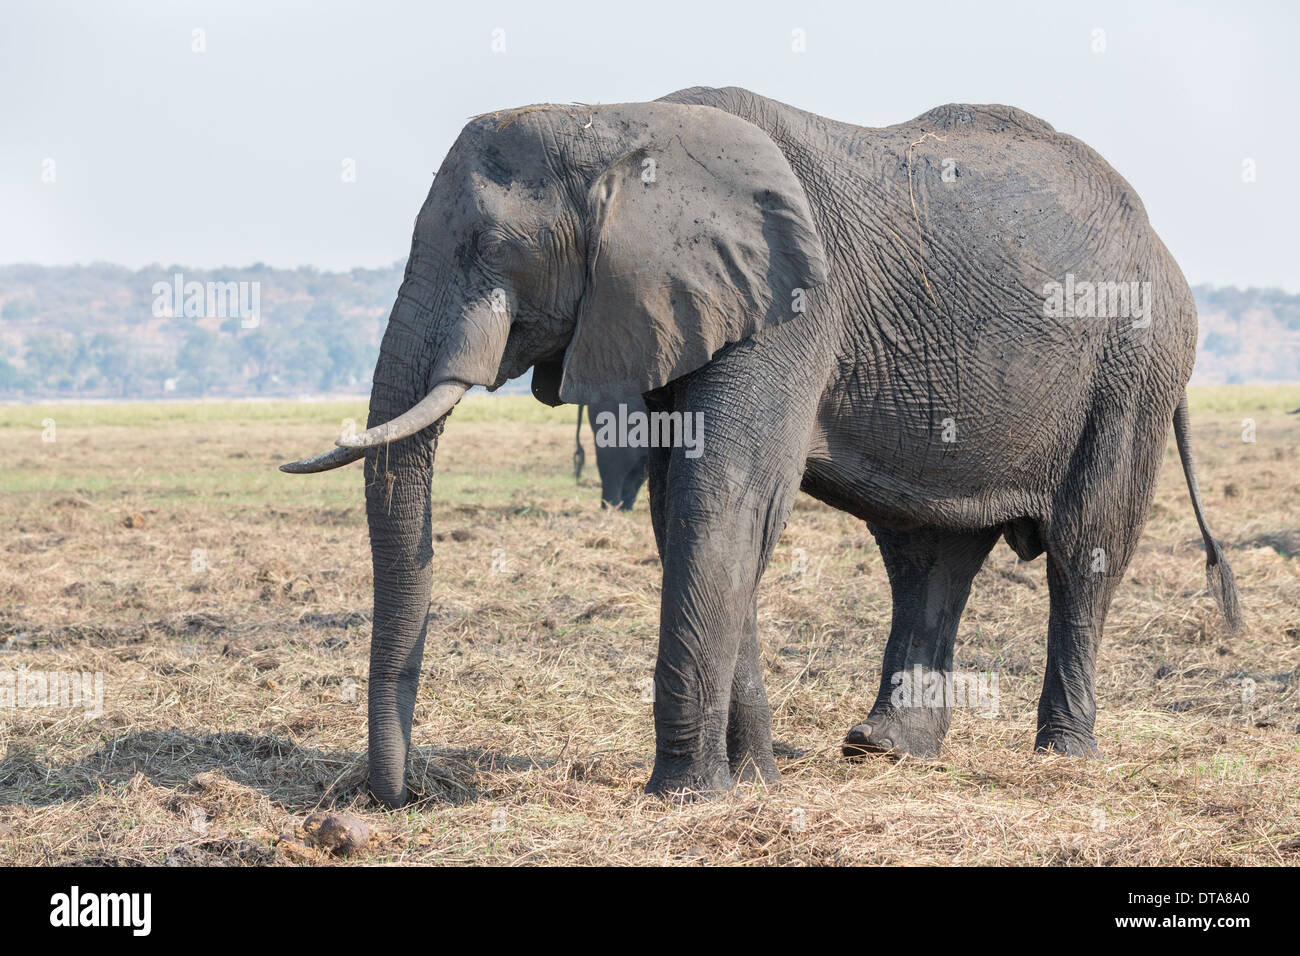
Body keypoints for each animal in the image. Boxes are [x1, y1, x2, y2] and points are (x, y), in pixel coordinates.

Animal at [282, 87, 1237, 806]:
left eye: (490, 246)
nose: (398, 797)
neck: (618, 120)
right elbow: (686, 507)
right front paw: (754, 782)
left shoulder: (791, 310)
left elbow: (726, 496)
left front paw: (685, 797)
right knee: (930, 558)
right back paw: (882, 750)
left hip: (1136, 366)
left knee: (1085, 547)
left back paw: (1062, 756)